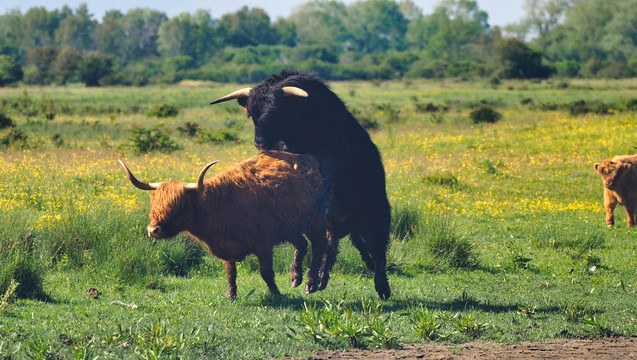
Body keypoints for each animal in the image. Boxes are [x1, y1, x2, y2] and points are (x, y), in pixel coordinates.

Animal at [212, 69, 392, 298]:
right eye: (252, 114)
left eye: (276, 112)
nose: (259, 142)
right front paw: (297, 276)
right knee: (330, 245)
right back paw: (315, 280)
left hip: (375, 213)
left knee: (377, 250)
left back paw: (381, 287)